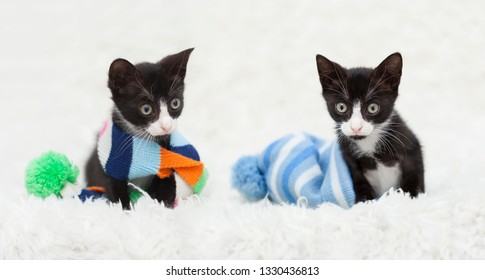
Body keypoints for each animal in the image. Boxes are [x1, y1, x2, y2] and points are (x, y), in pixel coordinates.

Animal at [85, 48, 206, 210]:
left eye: (175, 103)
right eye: (146, 109)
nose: (167, 126)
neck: (141, 140)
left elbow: (166, 182)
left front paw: (162, 204)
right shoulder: (109, 165)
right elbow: (114, 188)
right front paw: (126, 210)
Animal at [314, 52, 424, 202]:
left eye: (373, 108)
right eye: (341, 107)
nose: (356, 127)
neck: (369, 143)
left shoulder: (409, 144)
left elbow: (414, 172)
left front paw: (411, 197)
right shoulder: (348, 157)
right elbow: (358, 178)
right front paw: (364, 201)